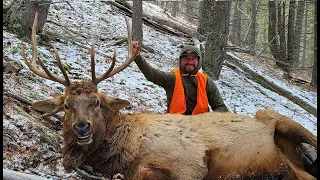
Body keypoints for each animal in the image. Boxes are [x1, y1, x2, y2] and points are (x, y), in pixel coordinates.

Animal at [22, 11, 318, 179]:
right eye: (67, 105)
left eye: (96, 102)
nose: (82, 128)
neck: (124, 148)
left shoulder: (191, 163)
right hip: (292, 164)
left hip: (279, 118)